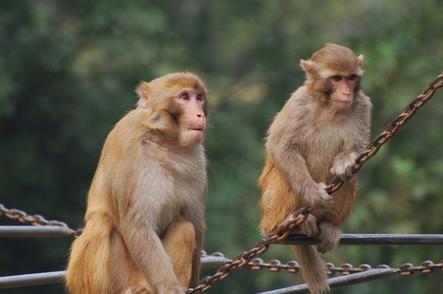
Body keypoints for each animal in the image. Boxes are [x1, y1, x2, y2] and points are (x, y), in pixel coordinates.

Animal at [66, 72, 210, 294]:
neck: (164, 140)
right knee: (101, 223)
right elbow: (136, 221)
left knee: (184, 229)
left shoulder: (197, 159)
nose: (199, 114)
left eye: (199, 97)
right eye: (185, 97)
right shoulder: (128, 142)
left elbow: (194, 223)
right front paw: (169, 287)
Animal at [258, 43, 372, 294]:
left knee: (349, 179)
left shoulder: (362, 105)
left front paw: (345, 161)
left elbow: (358, 150)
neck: (329, 105)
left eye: (351, 78)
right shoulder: (299, 102)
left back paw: (329, 225)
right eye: (337, 78)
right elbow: (281, 146)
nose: (346, 93)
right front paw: (313, 194)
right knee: (284, 175)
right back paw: (285, 225)